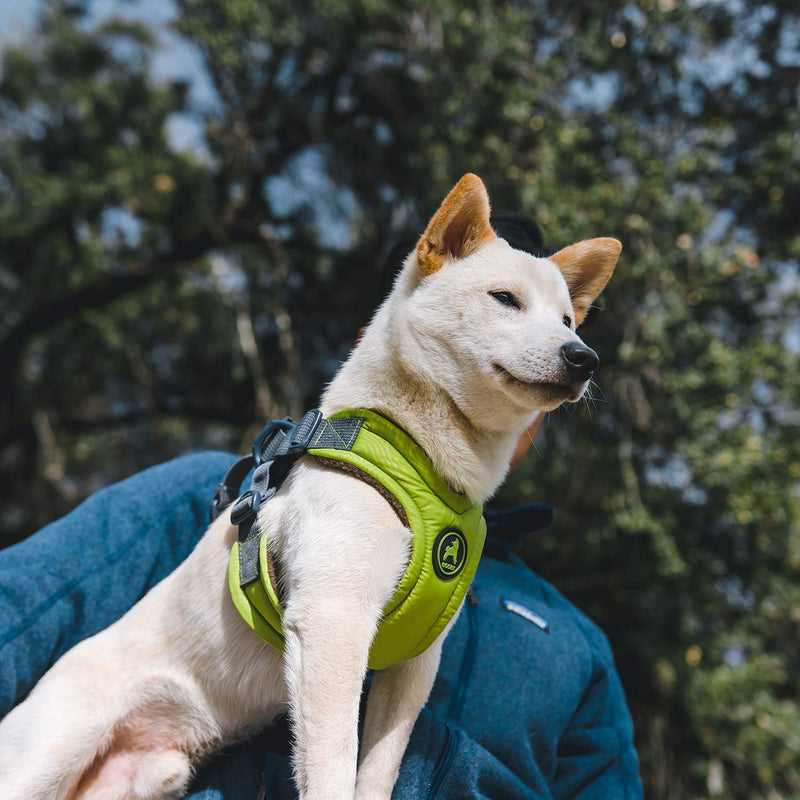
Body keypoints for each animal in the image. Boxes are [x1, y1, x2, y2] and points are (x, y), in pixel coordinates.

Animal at [0, 172, 620, 796]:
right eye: (504, 299)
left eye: (568, 322)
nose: (584, 358)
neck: (417, 459)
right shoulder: (333, 622)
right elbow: (332, 771)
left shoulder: (412, 667)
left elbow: (376, 774)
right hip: (50, 755)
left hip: (150, 775)